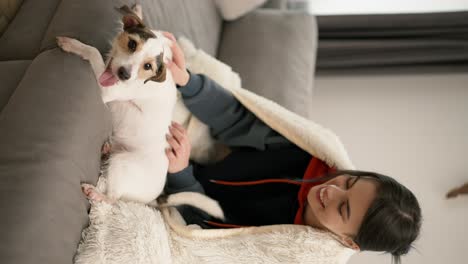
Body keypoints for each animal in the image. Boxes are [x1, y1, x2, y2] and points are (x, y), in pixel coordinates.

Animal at [56, 4, 225, 220]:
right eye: (131, 44)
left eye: (148, 66)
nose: (124, 75)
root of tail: (154, 199)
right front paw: (137, 11)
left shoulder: (107, 90)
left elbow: (93, 52)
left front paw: (72, 45)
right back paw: (107, 148)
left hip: (121, 164)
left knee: (112, 198)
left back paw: (95, 193)